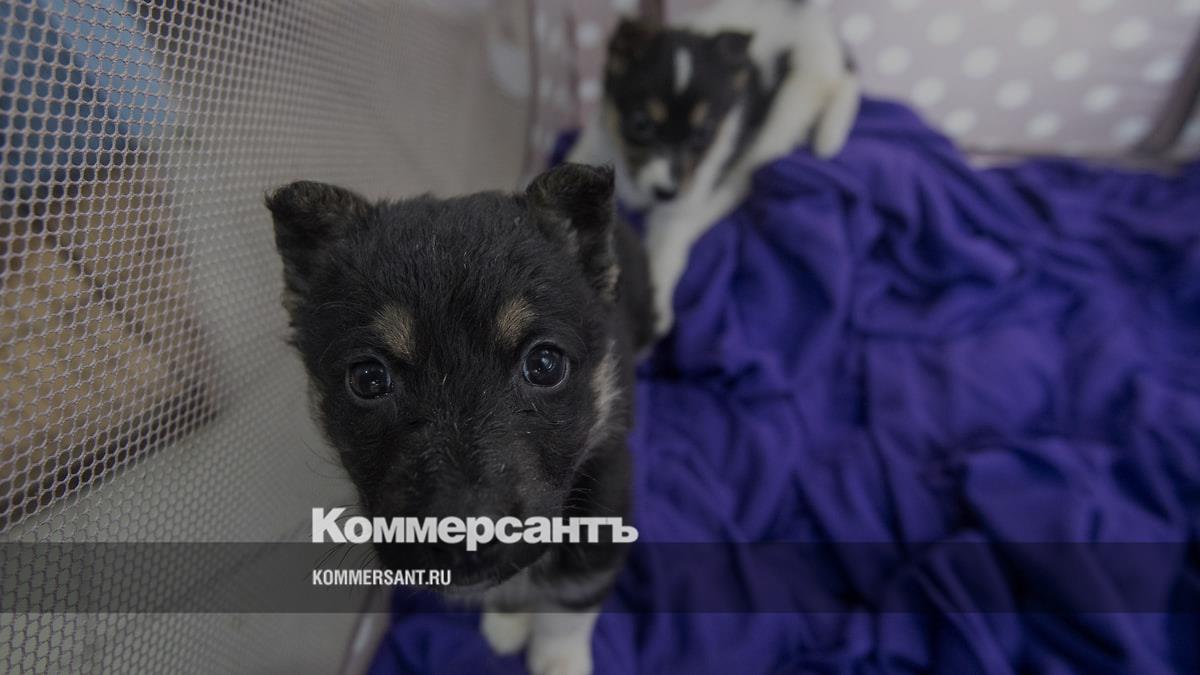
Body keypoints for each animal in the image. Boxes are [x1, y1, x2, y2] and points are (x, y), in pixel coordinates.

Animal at [267, 163, 653, 675]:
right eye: (368, 378)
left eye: (545, 365)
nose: (462, 540)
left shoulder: (601, 529)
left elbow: (567, 614)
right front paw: (508, 623)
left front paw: (559, 662)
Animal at [569, 0, 859, 336]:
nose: (666, 192)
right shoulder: (596, 145)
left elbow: (666, 249)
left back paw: (827, 136)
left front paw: (657, 308)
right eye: (641, 124)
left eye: (702, 135)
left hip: (798, 98)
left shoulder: (684, 203)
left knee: (842, 85)